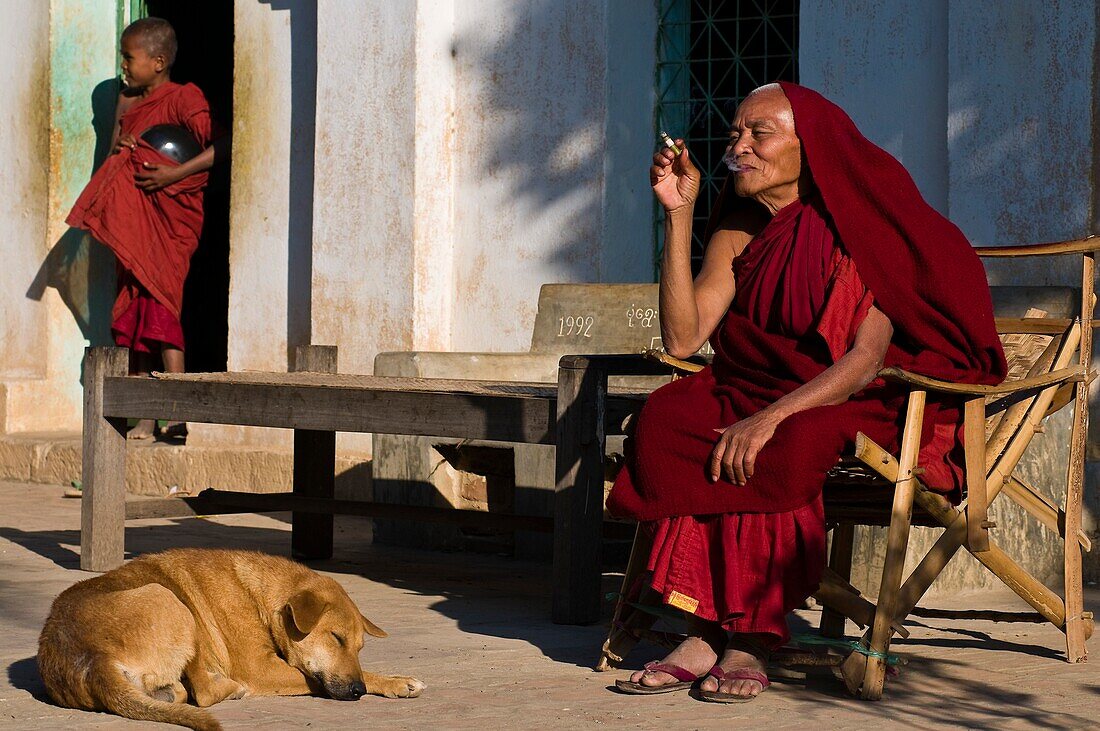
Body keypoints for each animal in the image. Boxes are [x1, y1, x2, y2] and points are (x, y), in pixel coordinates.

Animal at [38, 547, 424, 729]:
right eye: (336, 638)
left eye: (359, 646)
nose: (358, 691)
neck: (262, 598)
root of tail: (92, 659)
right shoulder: (261, 669)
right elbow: (315, 678)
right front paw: (392, 681)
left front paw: (395, 681)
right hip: (174, 601)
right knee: (205, 693)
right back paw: (228, 688)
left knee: (183, 692)